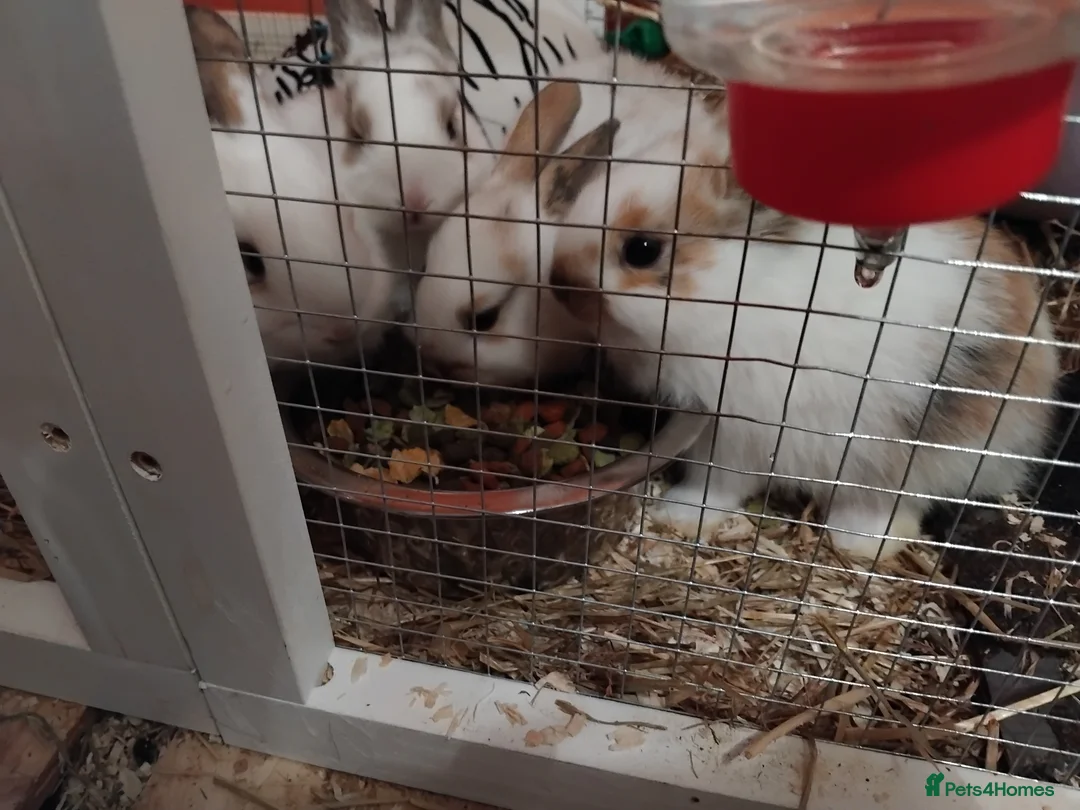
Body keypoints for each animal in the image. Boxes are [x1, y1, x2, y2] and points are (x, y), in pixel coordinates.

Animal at [543, 86, 1060, 562]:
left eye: (643, 250)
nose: (558, 284)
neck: (741, 289)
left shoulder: (737, 427)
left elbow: (714, 483)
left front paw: (678, 514)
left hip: (904, 456)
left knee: (893, 506)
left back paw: (857, 543)